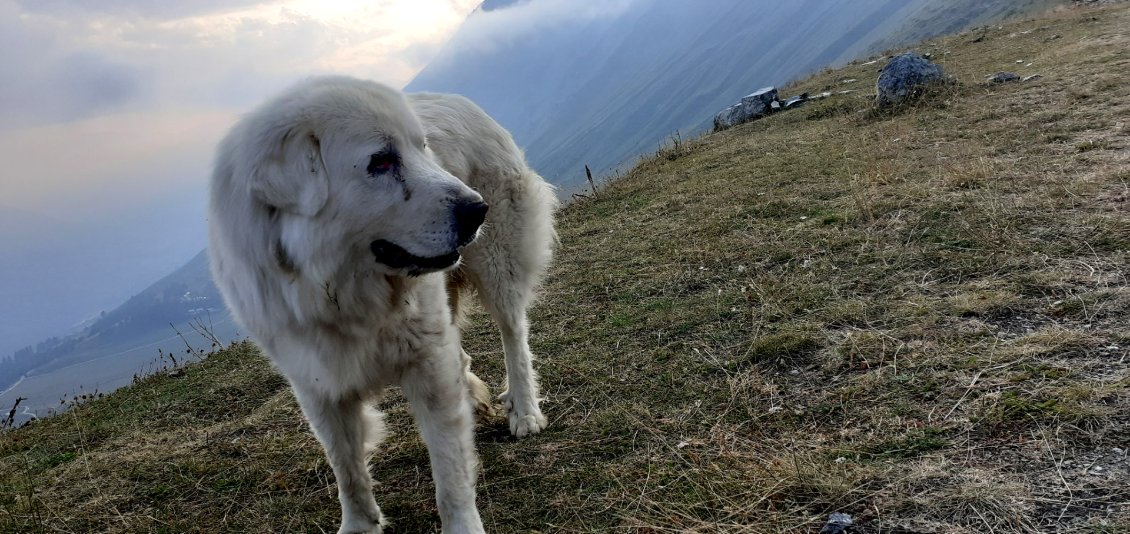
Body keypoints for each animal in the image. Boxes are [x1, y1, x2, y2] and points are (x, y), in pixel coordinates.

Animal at [210, 76, 558, 532]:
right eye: (380, 161)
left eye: (422, 147)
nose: (477, 209)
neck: (340, 294)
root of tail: (460, 99)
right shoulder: (316, 384)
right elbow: (347, 468)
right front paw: (360, 525)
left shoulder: (428, 364)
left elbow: (450, 470)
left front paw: (462, 524)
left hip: (500, 265)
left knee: (514, 334)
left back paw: (524, 409)